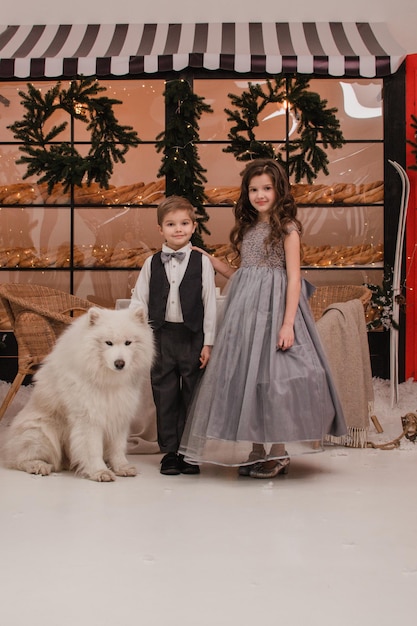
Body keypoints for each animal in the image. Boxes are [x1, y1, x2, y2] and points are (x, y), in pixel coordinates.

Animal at [1, 304, 154, 480]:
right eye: (108, 343)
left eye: (128, 343)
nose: (119, 363)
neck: (107, 380)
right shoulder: (89, 417)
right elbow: (93, 448)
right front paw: (100, 472)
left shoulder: (119, 414)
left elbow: (117, 448)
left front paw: (122, 467)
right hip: (40, 433)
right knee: (20, 459)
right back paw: (38, 466)